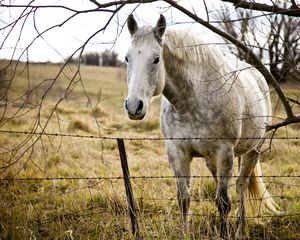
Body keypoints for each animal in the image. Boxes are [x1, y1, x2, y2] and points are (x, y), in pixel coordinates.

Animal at [123, 14, 278, 239]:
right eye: (128, 58)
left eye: (156, 59)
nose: (134, 106)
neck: (193, 101)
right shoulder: (177, 152)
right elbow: (184, 199)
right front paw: (185, 233)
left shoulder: (225, 152)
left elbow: (223, 203)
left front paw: (225, 234)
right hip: (212, 160)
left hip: (253, 151)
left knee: (241, 185)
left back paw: (240, 231)